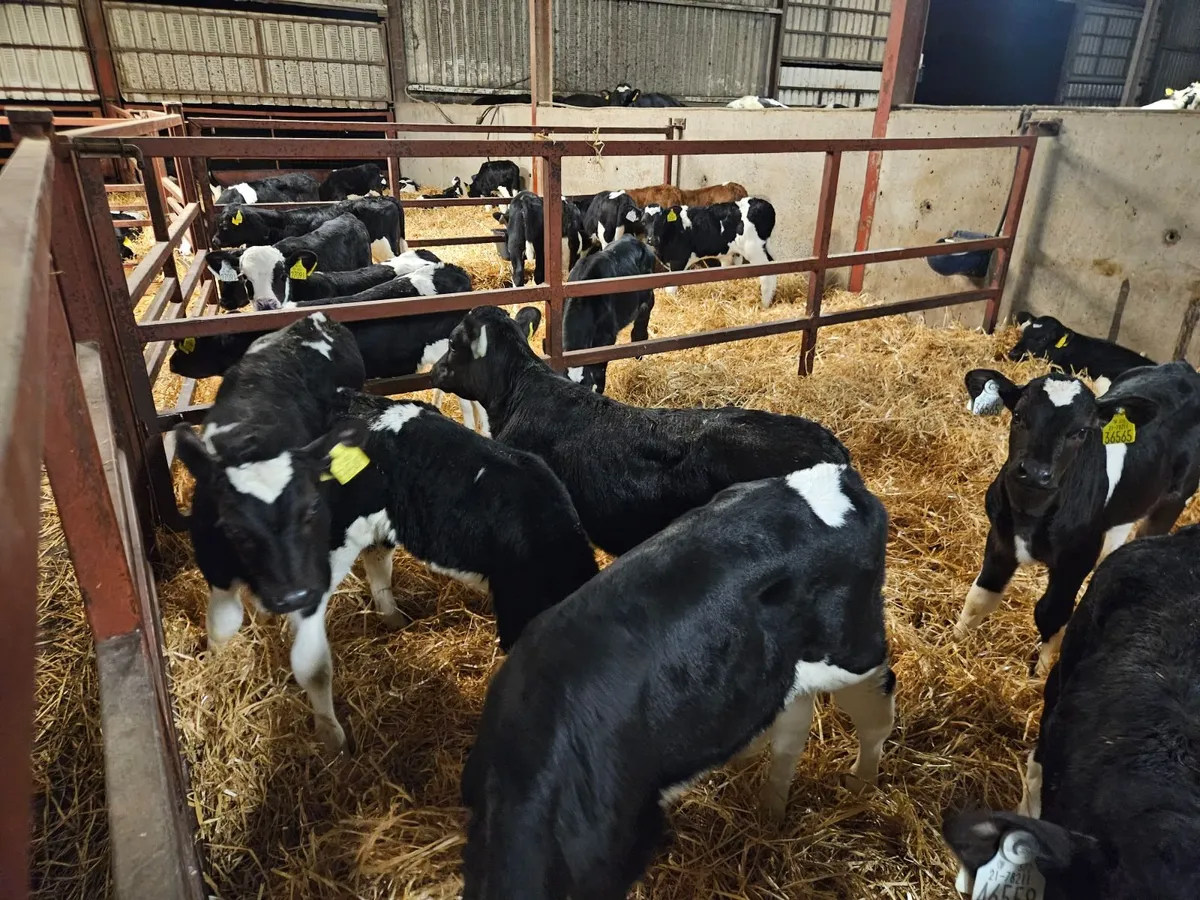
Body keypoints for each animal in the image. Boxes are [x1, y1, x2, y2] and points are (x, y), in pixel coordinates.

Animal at [461, 464, 895, 900]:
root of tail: (838, 476)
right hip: (788, 668)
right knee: (794, 721)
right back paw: (770, 807)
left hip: (854, 647)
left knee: (878, 702)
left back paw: (862, 784)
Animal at [643, 197, 777, 308]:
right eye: (643, 221)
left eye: (662, 221)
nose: (652, 239)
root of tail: (763, 204)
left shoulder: (678, 261)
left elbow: (670, 290)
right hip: (765, 248)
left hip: (754, 250)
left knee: (766, 276)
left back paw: (764, 305)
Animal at [957, 362, 1200, 674]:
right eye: (1019, 416)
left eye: (1081, 431)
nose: (1035, 472)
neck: (1030, 515)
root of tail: (1184, 368)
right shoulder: (1000, 538)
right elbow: (980, 597)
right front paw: (953, 643)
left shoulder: (1075, 560)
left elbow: (1052, 614)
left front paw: (1039, 673)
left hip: (1174, 499)